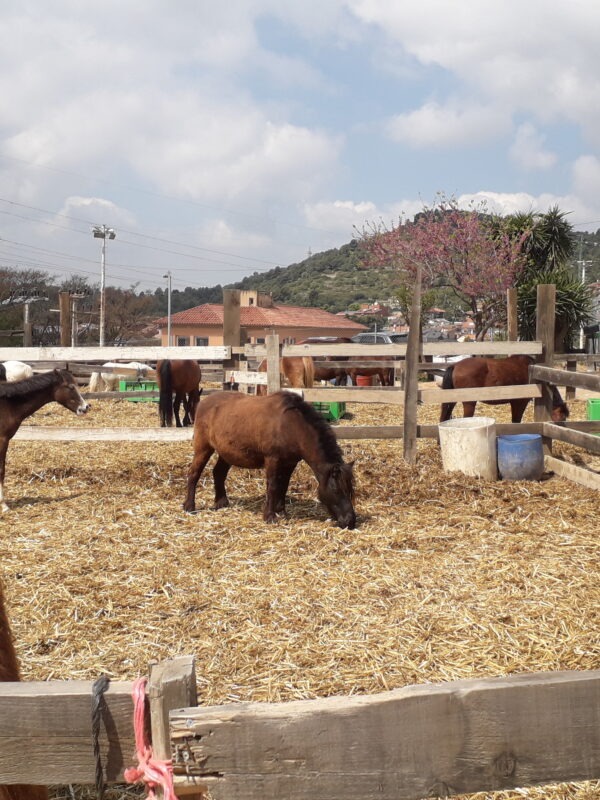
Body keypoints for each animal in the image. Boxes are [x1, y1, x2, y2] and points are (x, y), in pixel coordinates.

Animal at [0, 370, 90, 513]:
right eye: (71, 387)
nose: (85, 407)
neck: (7, 404)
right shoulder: (2, 440)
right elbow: (1, 470)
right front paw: (3, 505)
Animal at [183, 391, 356, 528]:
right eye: (336, 490)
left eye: (350, 489)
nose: (350, 521)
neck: (291, 425)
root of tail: (203, 403)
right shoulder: (273, 460)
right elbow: (273, 486)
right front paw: (270, 515)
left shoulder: (290, 463)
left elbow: (283, 486)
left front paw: (282, 512)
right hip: (203, 448)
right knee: (194, 473)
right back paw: (189, 506)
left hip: (226, 453)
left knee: (218, 473)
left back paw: (221, 502)